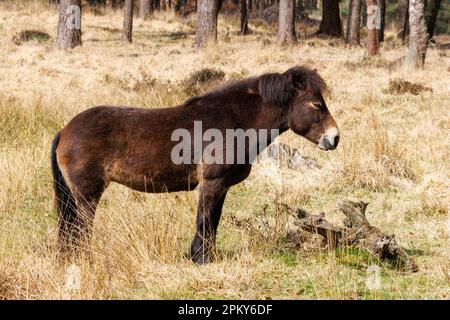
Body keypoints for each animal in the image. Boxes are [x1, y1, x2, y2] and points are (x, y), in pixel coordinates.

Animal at [51, 65, 340, 262]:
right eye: (317, 104)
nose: (334, 137)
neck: (232, 122)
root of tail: (65, 130)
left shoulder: (222, 187)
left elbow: (214, 221)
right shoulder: (212, 183)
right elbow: (205, 221)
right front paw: (200, 258)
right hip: (87, 195)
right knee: (80, 228)